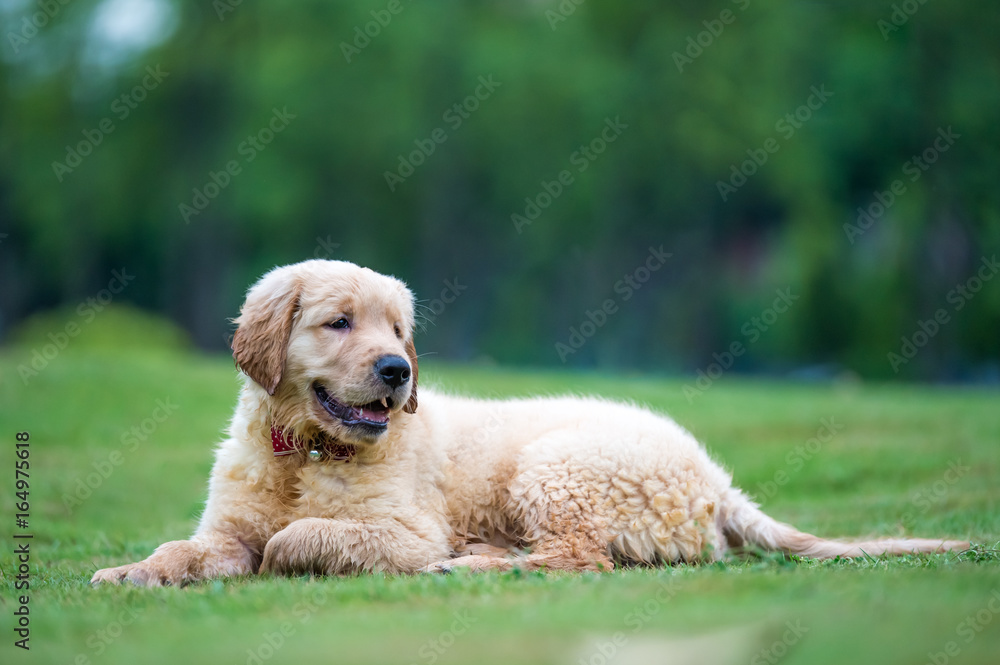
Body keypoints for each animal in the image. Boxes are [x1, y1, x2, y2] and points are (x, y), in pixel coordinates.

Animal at [94, 260, 968, 588]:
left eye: (397, 330)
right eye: (339, 322)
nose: (398, 370)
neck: (304, 449)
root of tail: (717, 481)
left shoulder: (404, 529)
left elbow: (295, 537)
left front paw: (287, 552)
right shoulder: (224, 525)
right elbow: (188, 546)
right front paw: (131, 570)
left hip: (556, 466)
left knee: (580, 557)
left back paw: (466, 565)